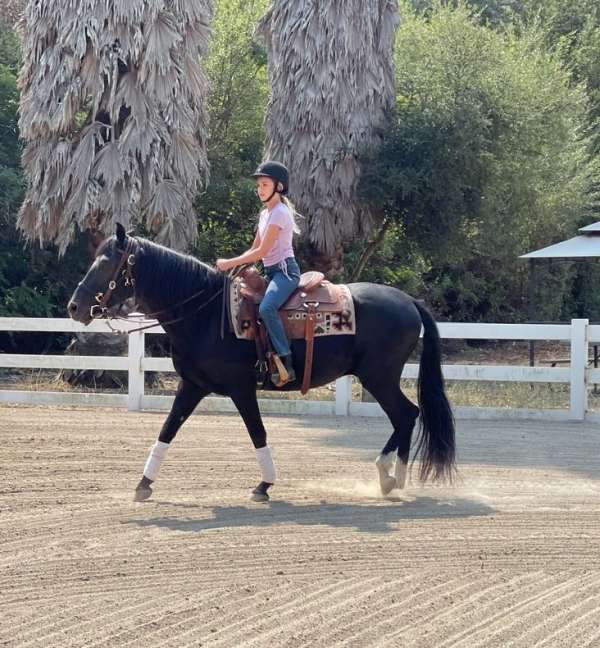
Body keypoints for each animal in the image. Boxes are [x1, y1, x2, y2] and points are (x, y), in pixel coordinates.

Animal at [68, 224, 454, 502]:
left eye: (106, 263)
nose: (74, 307)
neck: (207, 313)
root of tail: (408, 300)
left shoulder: (241, 388)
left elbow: (257, 432)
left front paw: (264, 486)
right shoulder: (192, 386)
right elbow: (167, 429)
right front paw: (144, 484)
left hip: (379, 377)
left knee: (406, 414)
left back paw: (390, 475)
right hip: (379, 378)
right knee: (406, 416)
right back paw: (391, 478)